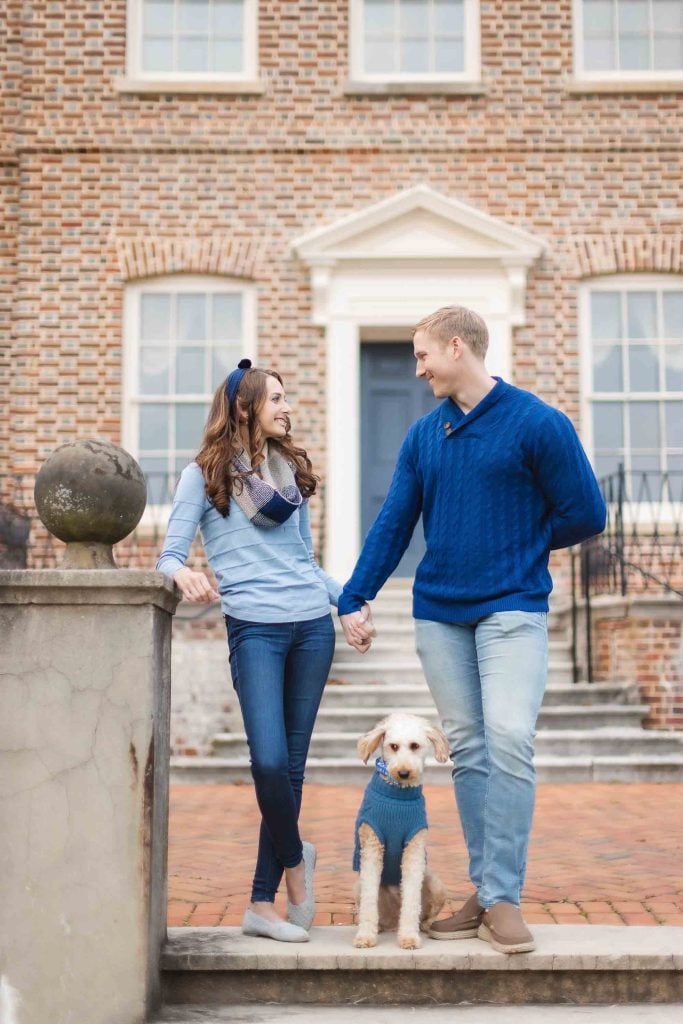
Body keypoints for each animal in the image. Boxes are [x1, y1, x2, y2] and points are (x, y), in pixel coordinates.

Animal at [352, 708, 448, 946]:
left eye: (415, 745)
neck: (398, 796)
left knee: (425, 915)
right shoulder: (372, 846)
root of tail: (393, 920)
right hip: (357, 887)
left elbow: (412, 899)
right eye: (393, 746)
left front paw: (409, 938)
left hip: (437, 885)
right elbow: (369, 900)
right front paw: (365, 936)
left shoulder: (414, 848)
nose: (403, 773)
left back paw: (427, 927)